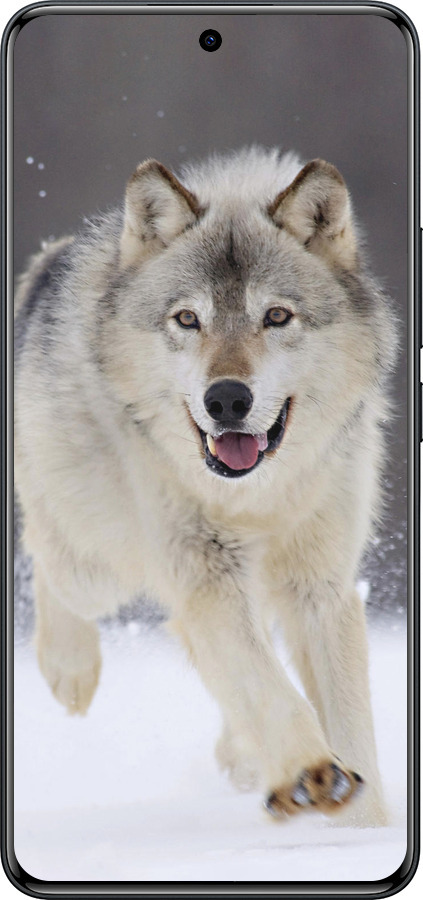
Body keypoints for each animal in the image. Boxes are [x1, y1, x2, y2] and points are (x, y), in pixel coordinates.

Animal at [15, 147, 396, 825]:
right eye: (188, 319)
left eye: (276, 316)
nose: (226, 400)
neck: (257, 497)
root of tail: (49, 260)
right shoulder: (205, 574)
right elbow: (268, 686)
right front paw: (311, 773)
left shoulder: (320, 585)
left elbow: (348, 720)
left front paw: (363, 825)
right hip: (99, 565)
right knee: (46, 555)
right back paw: (70, 671)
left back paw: (242, 757)